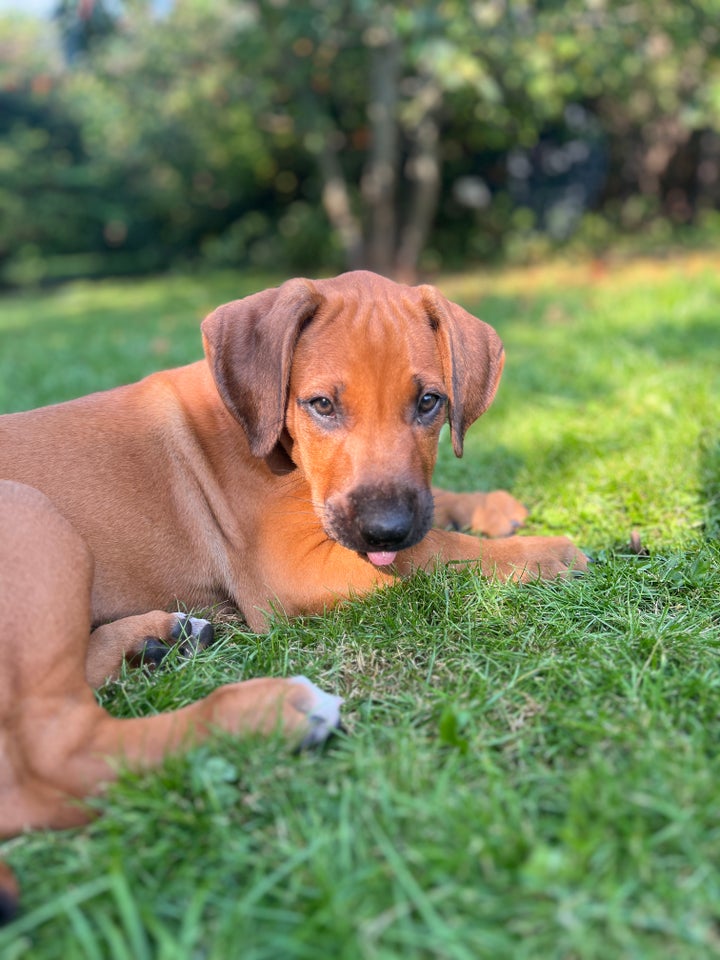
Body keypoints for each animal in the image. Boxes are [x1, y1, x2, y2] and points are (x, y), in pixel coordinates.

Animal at [0, 270, 584, 916]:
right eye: (322, 405)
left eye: (429, 402)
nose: (384, 529)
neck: (257, 428)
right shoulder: (293, 568)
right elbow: (435, 549)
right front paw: (542, 552)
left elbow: (433, 518)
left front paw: (486, 505)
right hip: (30, 513)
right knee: (56, 755)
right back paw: (269, 711)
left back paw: (159, 642)